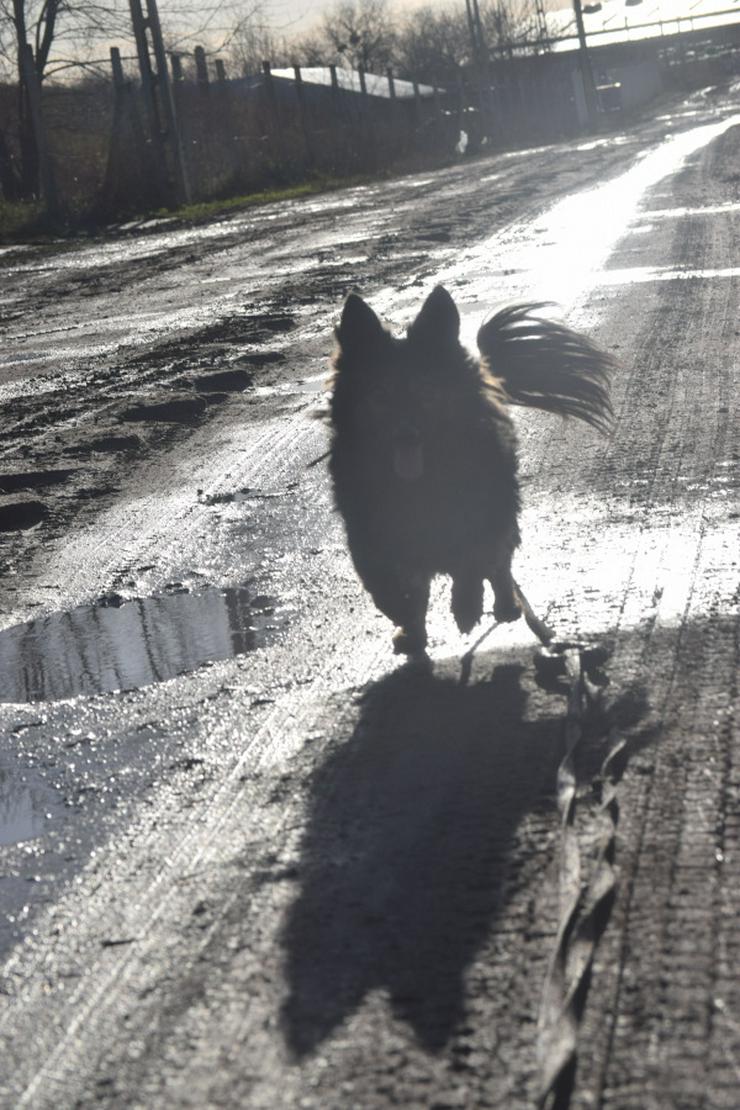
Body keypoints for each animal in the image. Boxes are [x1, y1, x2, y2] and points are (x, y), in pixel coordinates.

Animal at [328, 286, 612, 652]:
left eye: (428, 391)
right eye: (379, 395)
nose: (406, 435)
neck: (420, 482)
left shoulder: (481, 517)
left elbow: (472, 563)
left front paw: (465, 606)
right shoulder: (370, 534)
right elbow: (387, 585)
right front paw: (405, 616)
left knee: (500, 569)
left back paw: (505, 606)